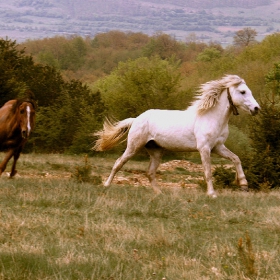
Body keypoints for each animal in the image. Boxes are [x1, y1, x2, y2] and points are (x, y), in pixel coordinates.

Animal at [93, 74, 260, 197]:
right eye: (243, 92)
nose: (256, 109)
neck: (211, 117)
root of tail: (136, 119)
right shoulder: (204, 148)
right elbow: (207, 171)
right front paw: (212, 194)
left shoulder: (218, 147)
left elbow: (236, 158)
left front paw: (244, 185)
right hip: (134, 147)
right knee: (118, 163)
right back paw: (106, 185)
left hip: (156, 151)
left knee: (150, 172)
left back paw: (160, 193)